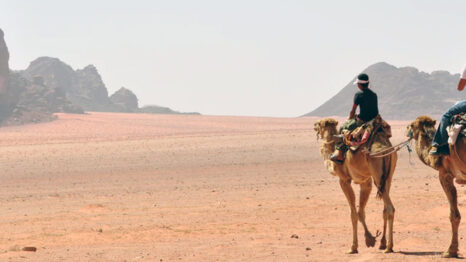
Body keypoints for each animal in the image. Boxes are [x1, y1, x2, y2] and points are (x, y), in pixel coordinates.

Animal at [314, 118, 396, 254]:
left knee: (390, 208)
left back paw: (389, 247)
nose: (314, 126)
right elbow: (360, 212)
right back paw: (383, 243)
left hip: (378, 175)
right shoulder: (365, 182)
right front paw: (370, 239)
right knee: (385, 208)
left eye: (319, 124)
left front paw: (354, 246)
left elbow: (353, 213)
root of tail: (386, 149)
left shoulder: (344, 180)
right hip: (387, 177)